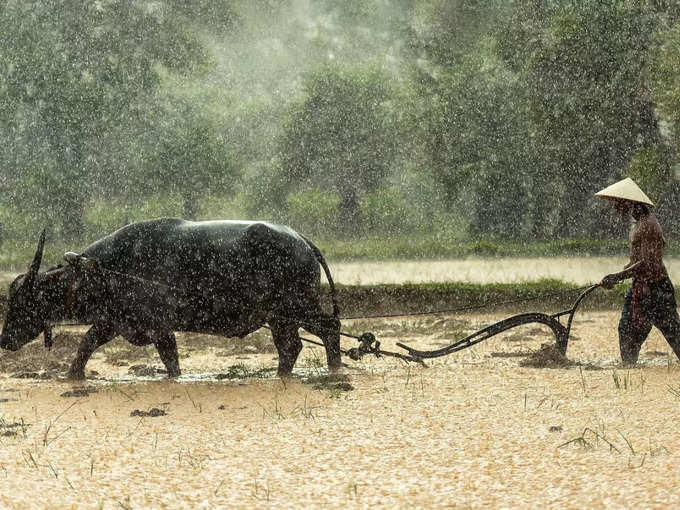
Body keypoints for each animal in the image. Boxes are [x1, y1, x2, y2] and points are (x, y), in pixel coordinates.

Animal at [0, 219, 340, 378]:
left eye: (21, 303)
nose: (4, 340)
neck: (107, 269)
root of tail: (301, 240)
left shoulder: (159, 326)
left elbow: (171, 360)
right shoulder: (114, 322)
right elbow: (86, 344)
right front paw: (71, 376)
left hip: (299, 306)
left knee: (329, 328)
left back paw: (335, 368)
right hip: (280, 317)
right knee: (291, 347)